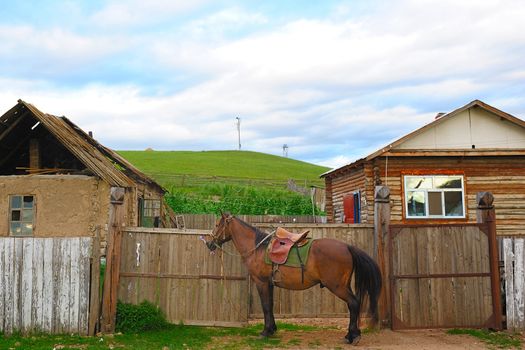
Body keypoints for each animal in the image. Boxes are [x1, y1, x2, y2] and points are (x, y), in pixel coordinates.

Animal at [205, 212, 380, 344]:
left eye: (217, 225)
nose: (209, 243)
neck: (258, 248)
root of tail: (347, 247)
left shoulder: (261, 283)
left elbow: (265, 306)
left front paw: (265, 332)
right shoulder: (270, 284)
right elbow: (270, 305)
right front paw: (272, 329)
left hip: (337, 287)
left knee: (353, 303)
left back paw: (352, 336)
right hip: (344, 285)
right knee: (354, 304)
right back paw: (352, 334)